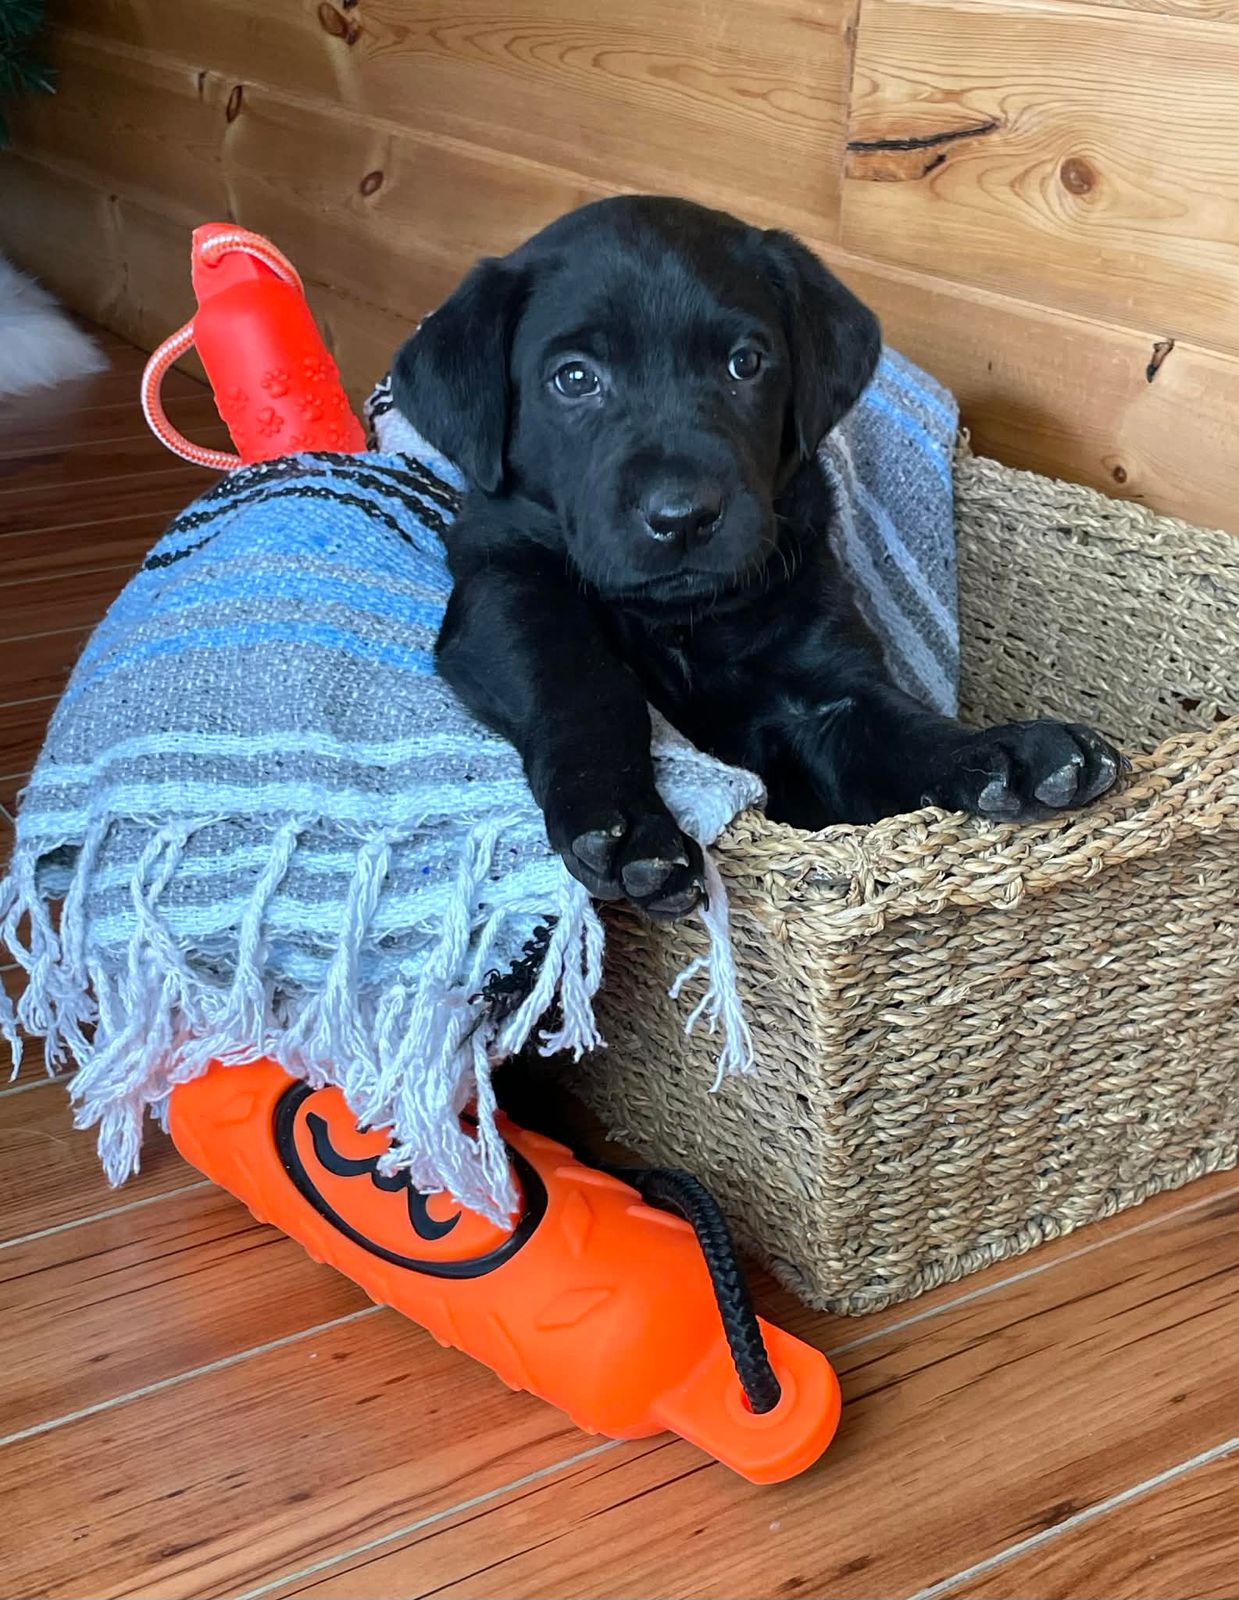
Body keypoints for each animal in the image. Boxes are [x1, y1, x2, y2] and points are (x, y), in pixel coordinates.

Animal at [392, 195, 1122, 918]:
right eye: (574, 379)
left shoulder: (829, 691)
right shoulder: (503, 590)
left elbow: (901, 727)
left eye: (745, 363)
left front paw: (1005, 751)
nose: (683, 516)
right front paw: (629, 828)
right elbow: (585, 683)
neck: (684, 620)